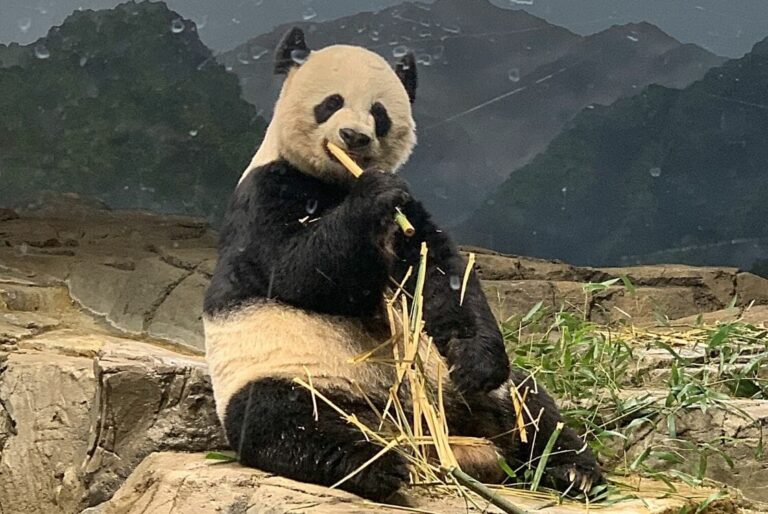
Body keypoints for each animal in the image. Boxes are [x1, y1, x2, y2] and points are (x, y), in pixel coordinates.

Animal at [203, 27, 603, 502]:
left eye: (378, 113)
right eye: (331, 102)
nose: (354, 136)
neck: (339, 179)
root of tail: (425, 439)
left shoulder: (412, 214)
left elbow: (440, 274)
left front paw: (475, 359)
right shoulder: (265, 194)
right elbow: (293, 272)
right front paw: (373, 196)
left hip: (452, 387)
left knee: (530, 405)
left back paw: (572, 470)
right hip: (290, 374)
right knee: (286, 417)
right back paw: (376, 466)